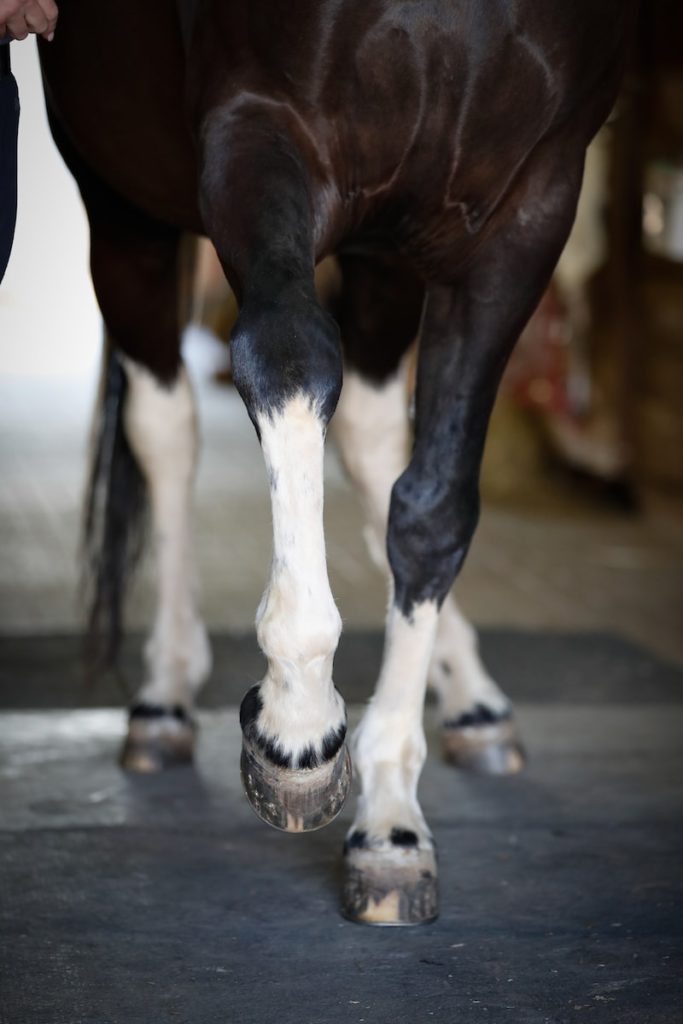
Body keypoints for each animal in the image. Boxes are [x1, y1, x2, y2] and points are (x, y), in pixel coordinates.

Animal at [38, 0, 634, 929]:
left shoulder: (528, 208)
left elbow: (433, 507)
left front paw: (390, 823)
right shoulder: (257, 127)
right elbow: (287, 357)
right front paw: (297, 728)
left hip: (388, 248)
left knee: (372, 436)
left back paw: (473, 702)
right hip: (123, 202)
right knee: (166, 427)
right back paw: (166, 693)